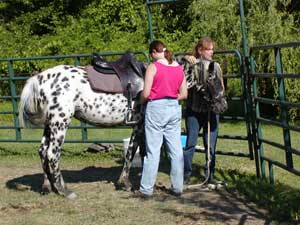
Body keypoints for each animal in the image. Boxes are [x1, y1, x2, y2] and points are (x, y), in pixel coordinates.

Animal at [18, 52, 145, 199]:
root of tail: (40, 78)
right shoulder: (140, 126)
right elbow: (132, 152)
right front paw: (127, 183)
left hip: (49, 125)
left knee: (43, 151)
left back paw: (48, 186)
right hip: (60, 123)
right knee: (52, 154)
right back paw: (64, 190)